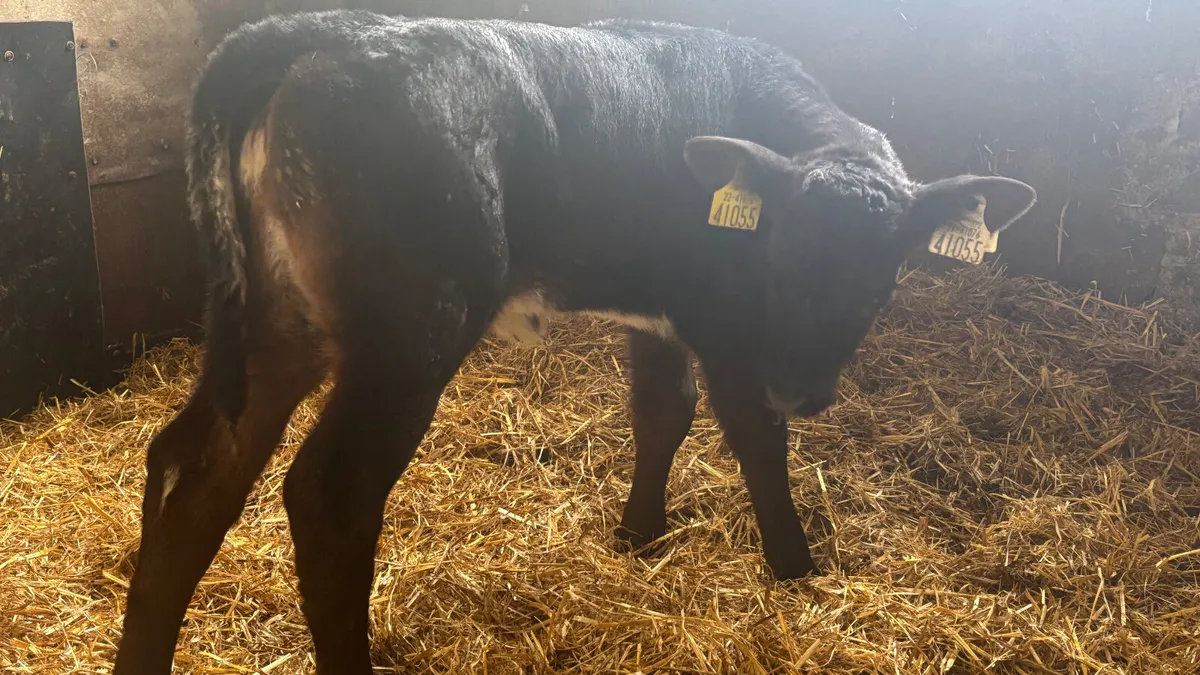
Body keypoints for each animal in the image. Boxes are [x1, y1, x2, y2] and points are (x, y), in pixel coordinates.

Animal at [113, 10, 1036, 673]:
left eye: (883, 283)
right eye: (779, 259)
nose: (803, 387)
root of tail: (300, 32)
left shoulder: (657, 312)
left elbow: (662, 411)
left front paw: (639, 534)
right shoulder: (722, 321)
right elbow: (751, 432)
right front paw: (793, 564)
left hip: (277, 326)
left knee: (194, 471)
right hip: (410, 333)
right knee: (329, 494)